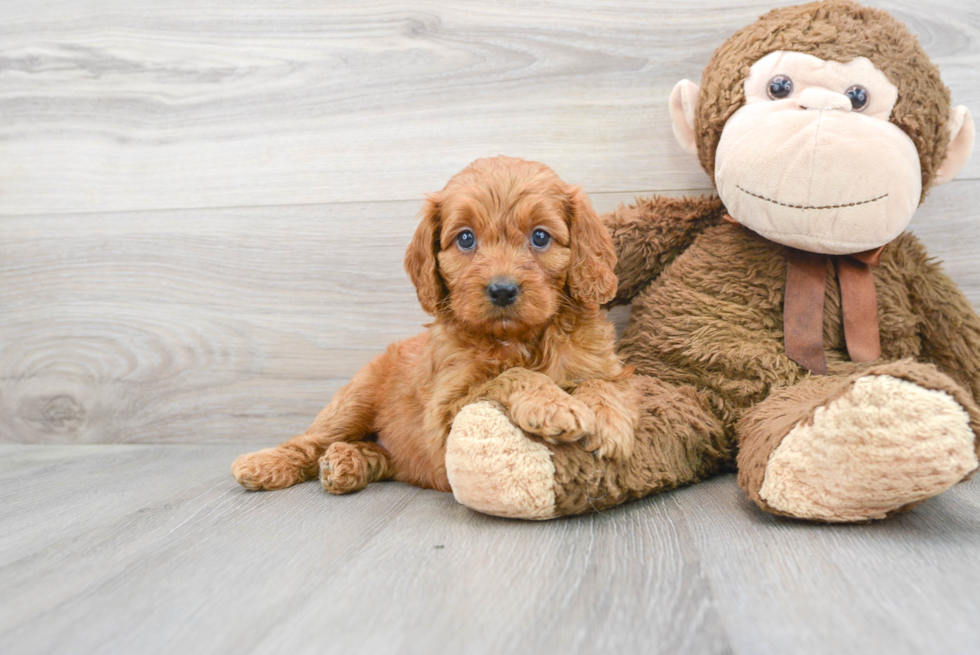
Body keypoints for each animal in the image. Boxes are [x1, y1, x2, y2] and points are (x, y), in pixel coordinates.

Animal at [234, 158, 640, 498]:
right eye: (466, 238)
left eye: (540, 237)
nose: (502, 289)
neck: (519, 338)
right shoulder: (446, 418)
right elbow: (509, 376)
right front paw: (553, 404)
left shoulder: (606, 367)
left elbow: (601, 383)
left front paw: (608, 422)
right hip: (354, 400)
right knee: (310, 438)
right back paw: (266, 464)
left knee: (383, 454)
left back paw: (346, 463)